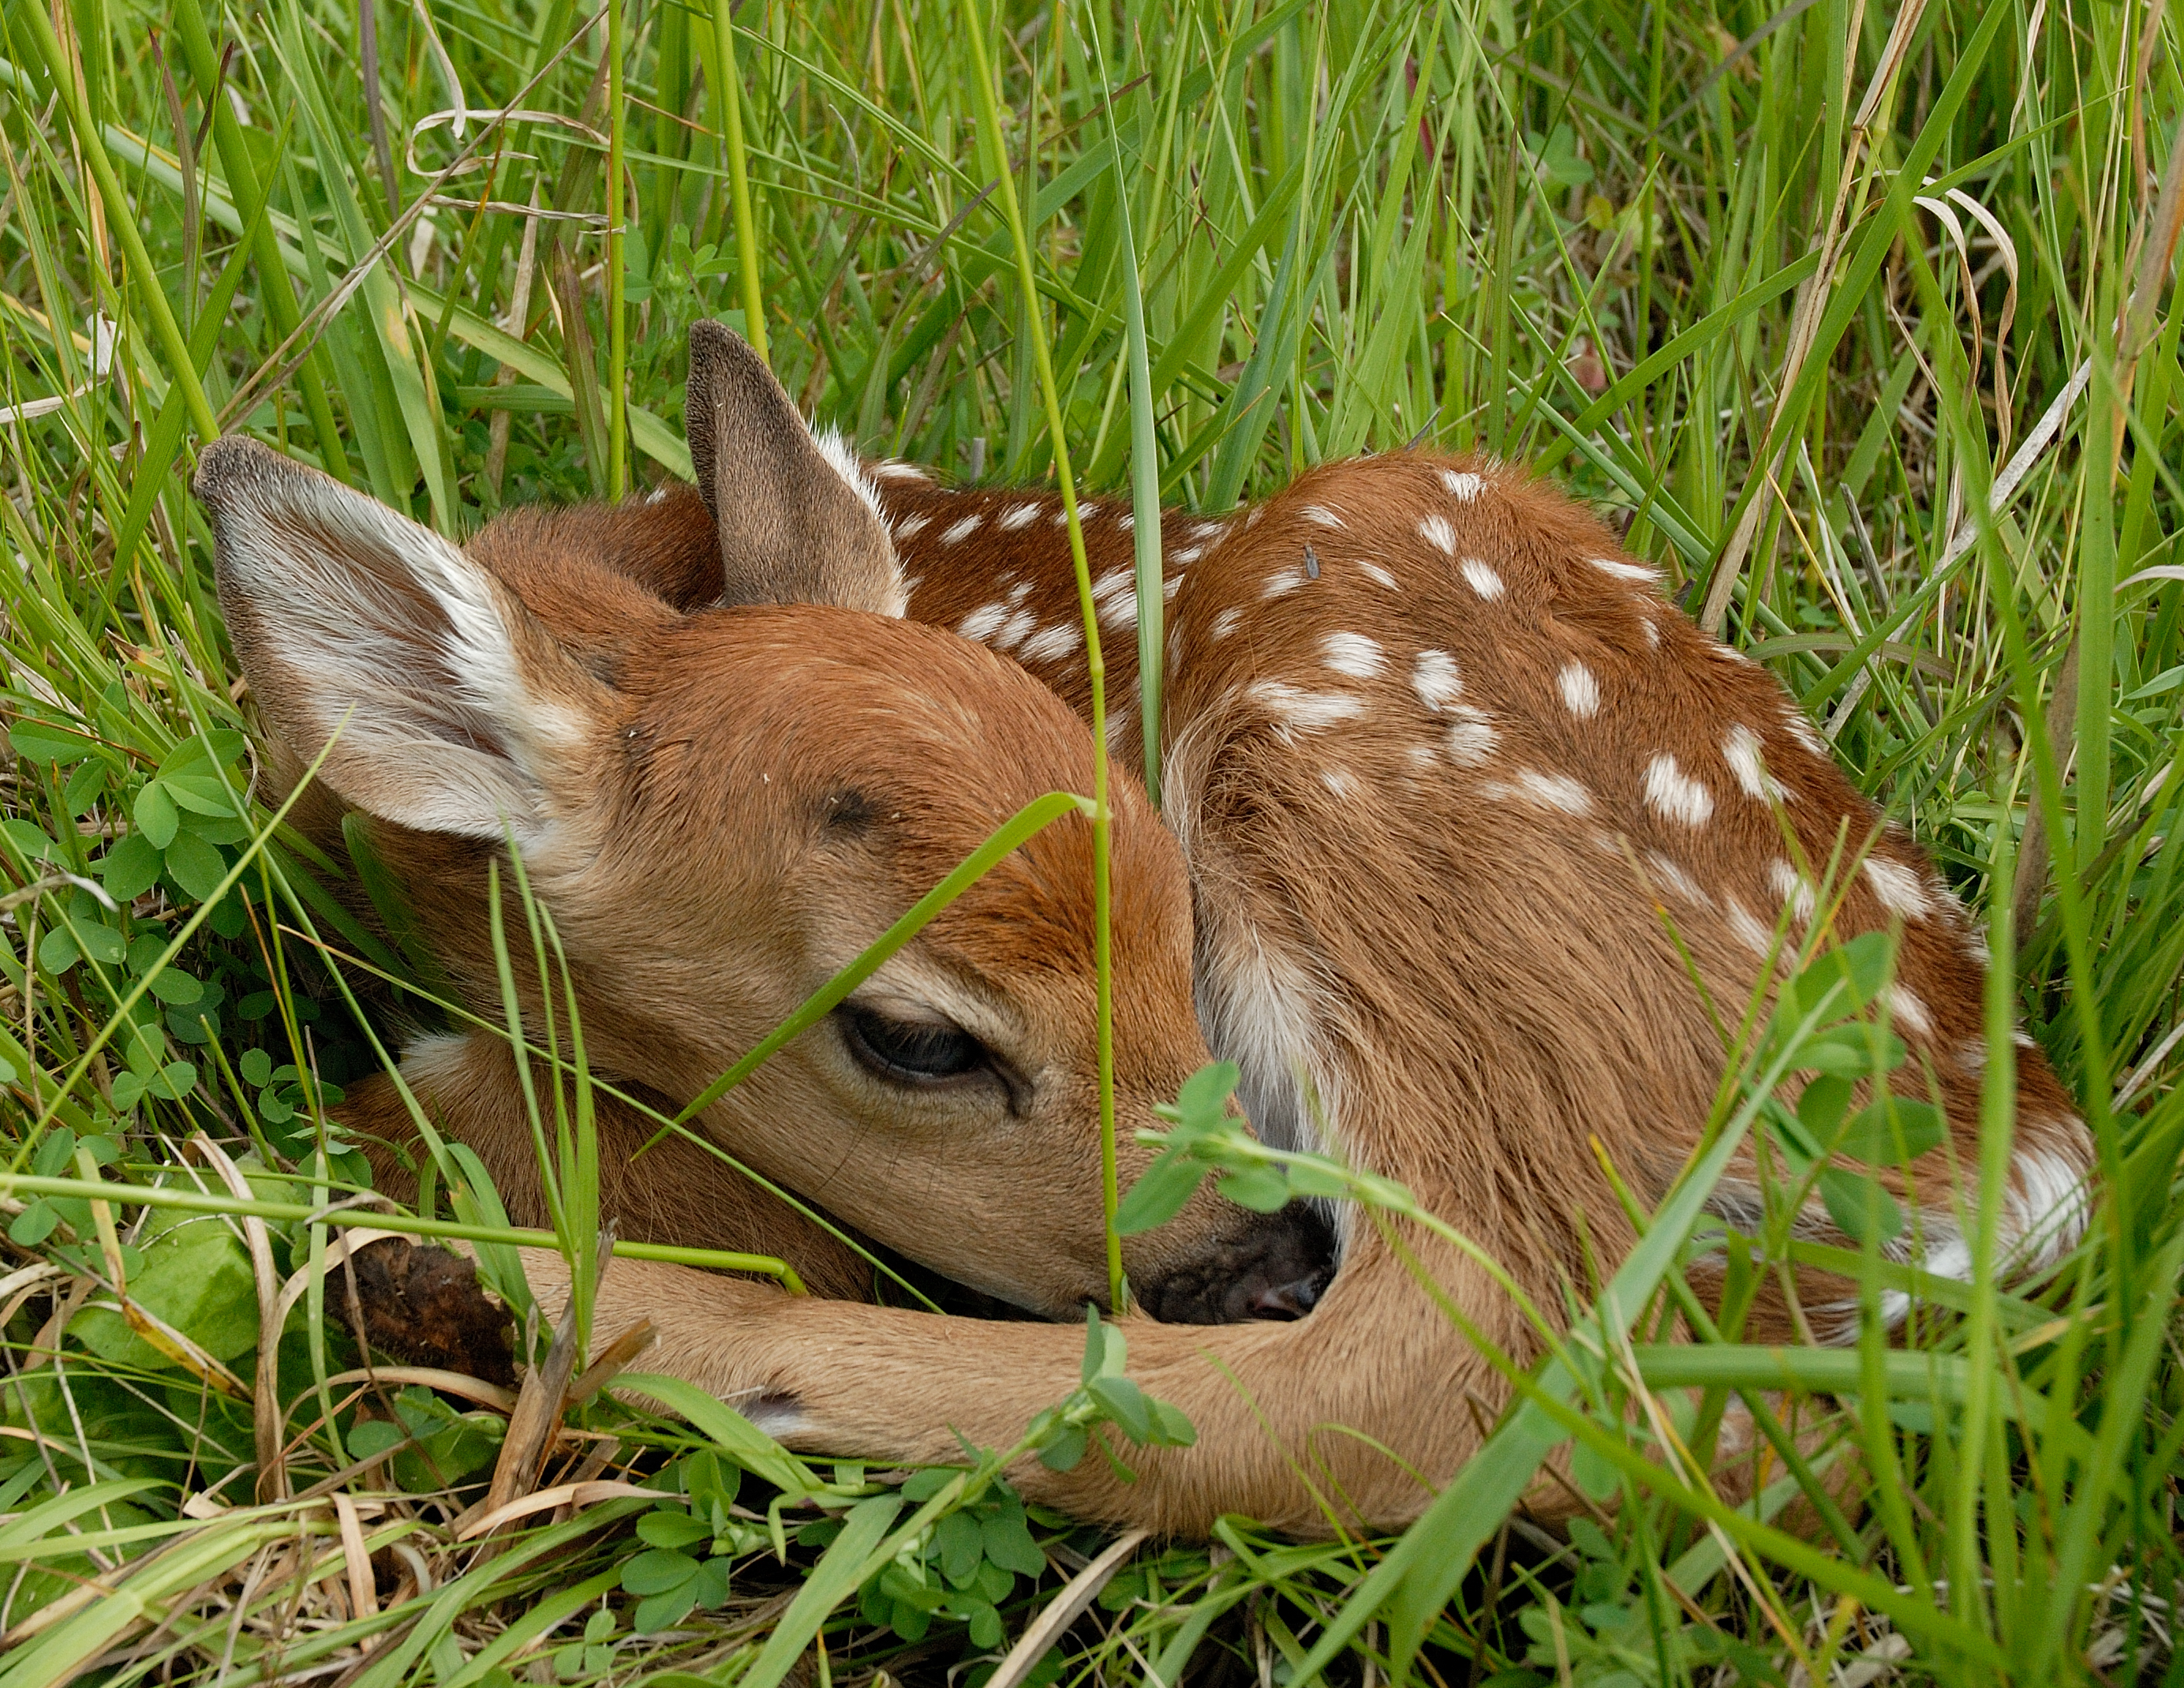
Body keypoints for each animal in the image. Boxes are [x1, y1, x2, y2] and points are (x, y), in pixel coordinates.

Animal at [192, 322, 2095, 1537]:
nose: (1248, 1246)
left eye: (1176, 913)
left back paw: (505, 1299)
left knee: (1441, 1360)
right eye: (913, 1036)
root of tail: (2011, 1159)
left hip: (1357, 730)